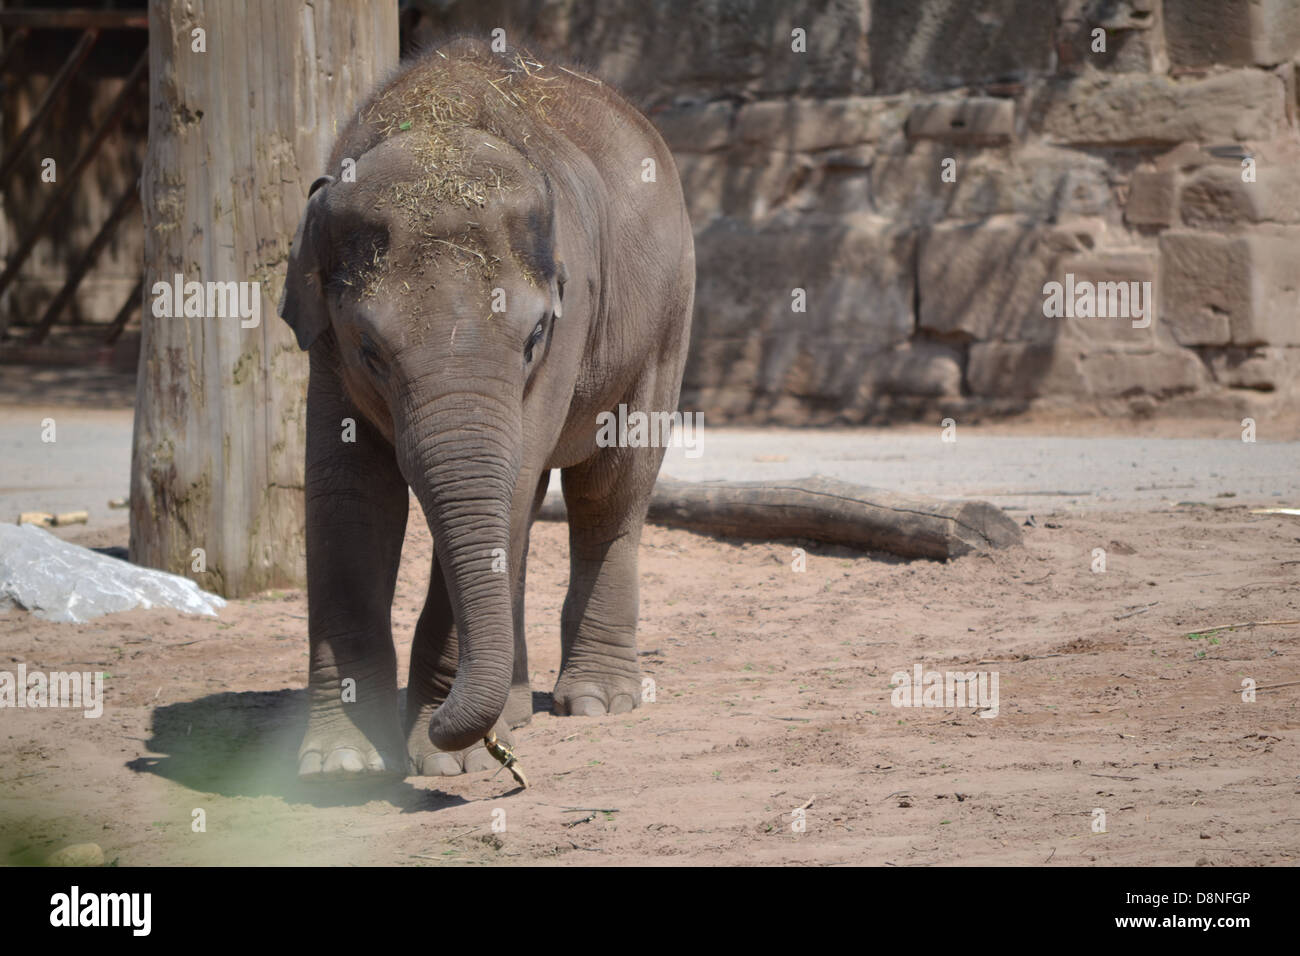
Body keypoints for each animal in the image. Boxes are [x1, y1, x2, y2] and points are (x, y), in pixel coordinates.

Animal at [278, 39, 696, 785]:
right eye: (369, 349)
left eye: (534, 337)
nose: (505, 760)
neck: (435, 121)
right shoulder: (323, 349)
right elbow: (348, 493)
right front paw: (341, 763)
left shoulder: (570, 319)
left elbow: (512, 479)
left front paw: (453, 760)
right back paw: (521, 710)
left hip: (667, 316)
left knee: (610, 489)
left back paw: (595, 702)